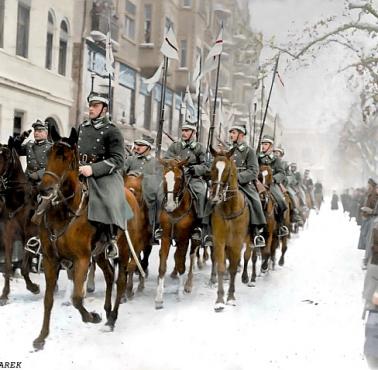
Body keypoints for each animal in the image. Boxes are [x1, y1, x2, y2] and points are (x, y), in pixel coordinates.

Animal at [32, 129, 142, 352]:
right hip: (99, 253)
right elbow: (48, 299)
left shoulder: (81, 259)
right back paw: (107, 311)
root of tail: (130, 193)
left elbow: (76, 297)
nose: (44, 189)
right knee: (109, 275)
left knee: (120, 280)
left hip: (124, 250)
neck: (63, 213)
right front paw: (42, 337)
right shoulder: (50, 260)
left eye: (66, 158)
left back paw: (111, 319)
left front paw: (92, 316)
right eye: (48, 153)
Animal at [154, 158, 201, 308]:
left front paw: (180, 294)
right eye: (164, 177)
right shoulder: (166, 237)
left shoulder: (184, 239)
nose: (169, 206)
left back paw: (188, 284)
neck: (175, 211)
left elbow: (182, 263)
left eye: (179, 178)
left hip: (195, 240)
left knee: (191, 256)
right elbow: (163, 265)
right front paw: (159, 297)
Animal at [208, 147, 250, 310]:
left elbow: (232, 268)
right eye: (212, 168)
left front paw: (231, 297)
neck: (229, 208)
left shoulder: (237, 243)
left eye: (227, 170)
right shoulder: (219, 241)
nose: (215, 197)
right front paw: (219, 300)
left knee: (248, 256)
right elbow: (221, 266)